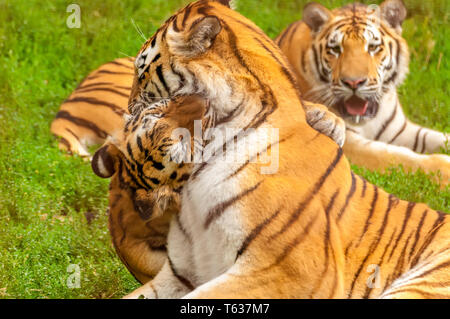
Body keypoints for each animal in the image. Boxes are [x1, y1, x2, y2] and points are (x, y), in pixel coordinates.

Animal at [276, 0, 448, 184]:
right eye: (335, 49)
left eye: (373, 47)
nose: (353, 82)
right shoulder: (351, 143)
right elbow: (395, 156)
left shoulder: (400, 129)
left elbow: (436, 137)